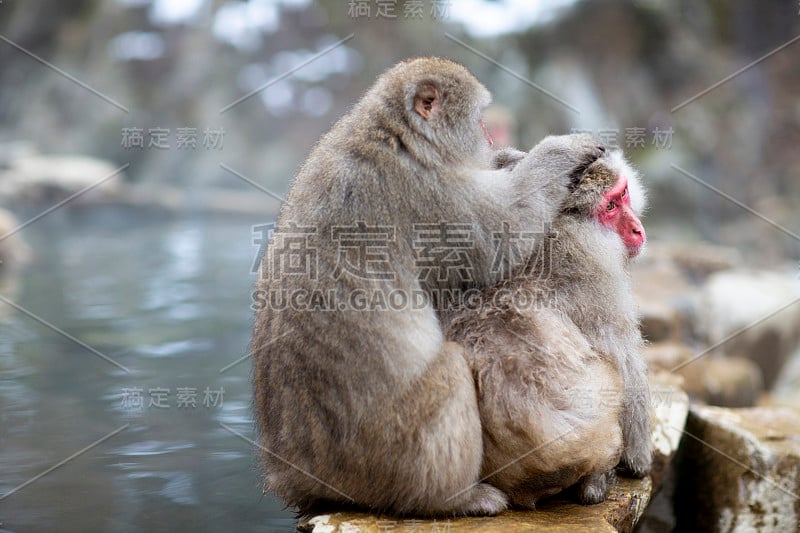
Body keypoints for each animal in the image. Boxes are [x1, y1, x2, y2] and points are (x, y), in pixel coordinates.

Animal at [253, 57, 604, 516]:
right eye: (480, 119)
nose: (489, 138)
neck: (394, 134)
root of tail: (295, 473)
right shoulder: (433, 195)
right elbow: (503, 236)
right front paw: (561, 152)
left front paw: (507, 159)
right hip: (390, 455)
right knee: (451, 367)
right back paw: (458, 497)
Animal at [446, 148, 652, 504]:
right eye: (610, 206)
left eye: (624, 193)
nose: (637, 229)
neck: (562, 235)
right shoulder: (598, 287)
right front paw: (638, 460)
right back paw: (597, 481)